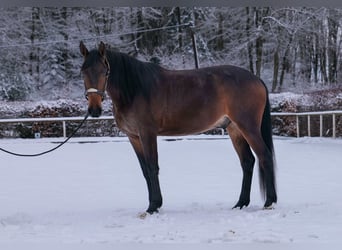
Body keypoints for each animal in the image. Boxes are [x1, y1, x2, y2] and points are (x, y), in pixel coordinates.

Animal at [79, 41, 276, 215]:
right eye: (83, 71)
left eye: (105, 71)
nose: (94, 110)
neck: (135, 89)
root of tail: (256, 79)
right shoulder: (133, 137)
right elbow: (145, 170)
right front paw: (153, 204)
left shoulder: (147, 134)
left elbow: (152, 167)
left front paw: (153, 206)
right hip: (234, 129)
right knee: (248, 161)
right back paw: (241, 203)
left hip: (248, 127)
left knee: (264, 156)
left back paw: (269, 202)